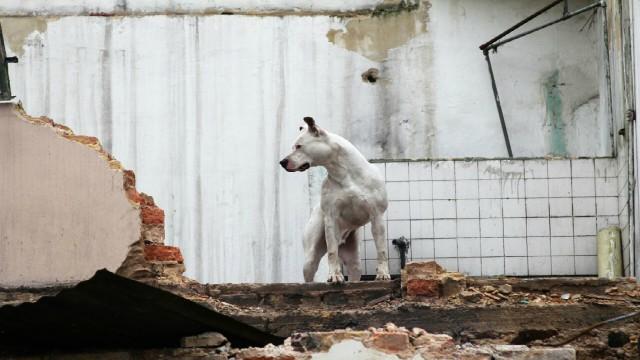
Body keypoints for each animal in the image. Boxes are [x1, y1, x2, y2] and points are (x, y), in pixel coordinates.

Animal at [278, 116, 390, 282]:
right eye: (293, 147)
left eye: (299, 146)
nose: (282, 162)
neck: (345, 174)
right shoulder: (331, 217)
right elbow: (332, 252)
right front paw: (334, 275)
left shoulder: (377, 216)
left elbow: (381, 249)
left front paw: (382, 273)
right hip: (311, 256)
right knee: (312, 271)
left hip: (354, 261)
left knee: (353, 269)